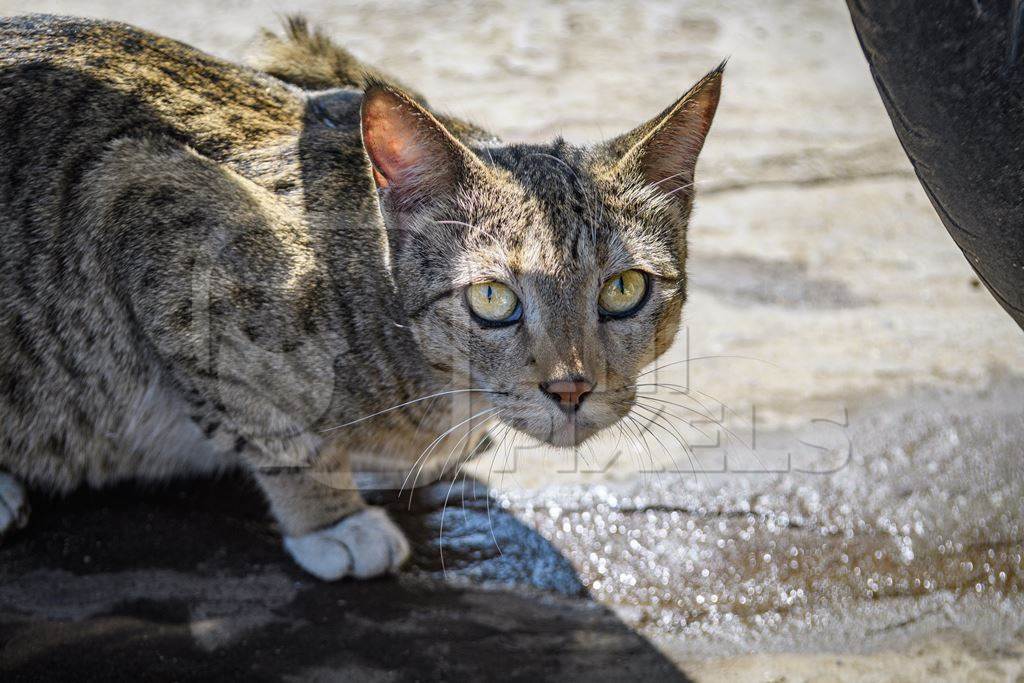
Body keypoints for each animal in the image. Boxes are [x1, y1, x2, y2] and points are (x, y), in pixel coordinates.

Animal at [0, 14, 720, 581]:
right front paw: (329, 515)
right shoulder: (143, 198)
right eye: (492, 298)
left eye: (624, 289)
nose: (571, 389)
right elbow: (267, 422)